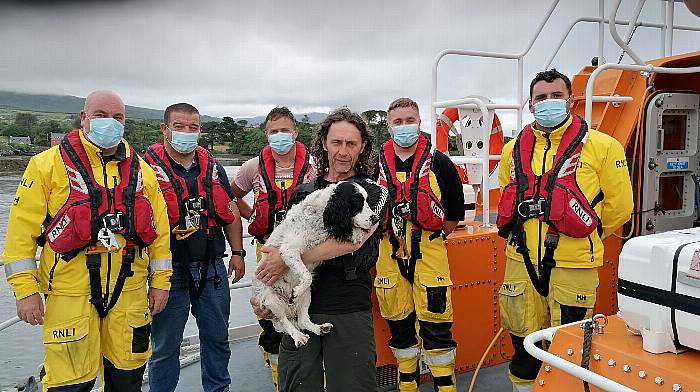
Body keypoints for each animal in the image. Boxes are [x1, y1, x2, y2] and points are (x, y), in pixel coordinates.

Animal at [253, 180, 378, 346]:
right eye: (357, 202)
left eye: (367, 200)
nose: (376, 219)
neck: (320, 213)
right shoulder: (289, 251)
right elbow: (307, 276)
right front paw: (296, 291)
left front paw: (356, 233)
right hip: (273, 301)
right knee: (285, 322)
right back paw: (298, 336)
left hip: (307, 295)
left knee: (303, 320)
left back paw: (320, 328)